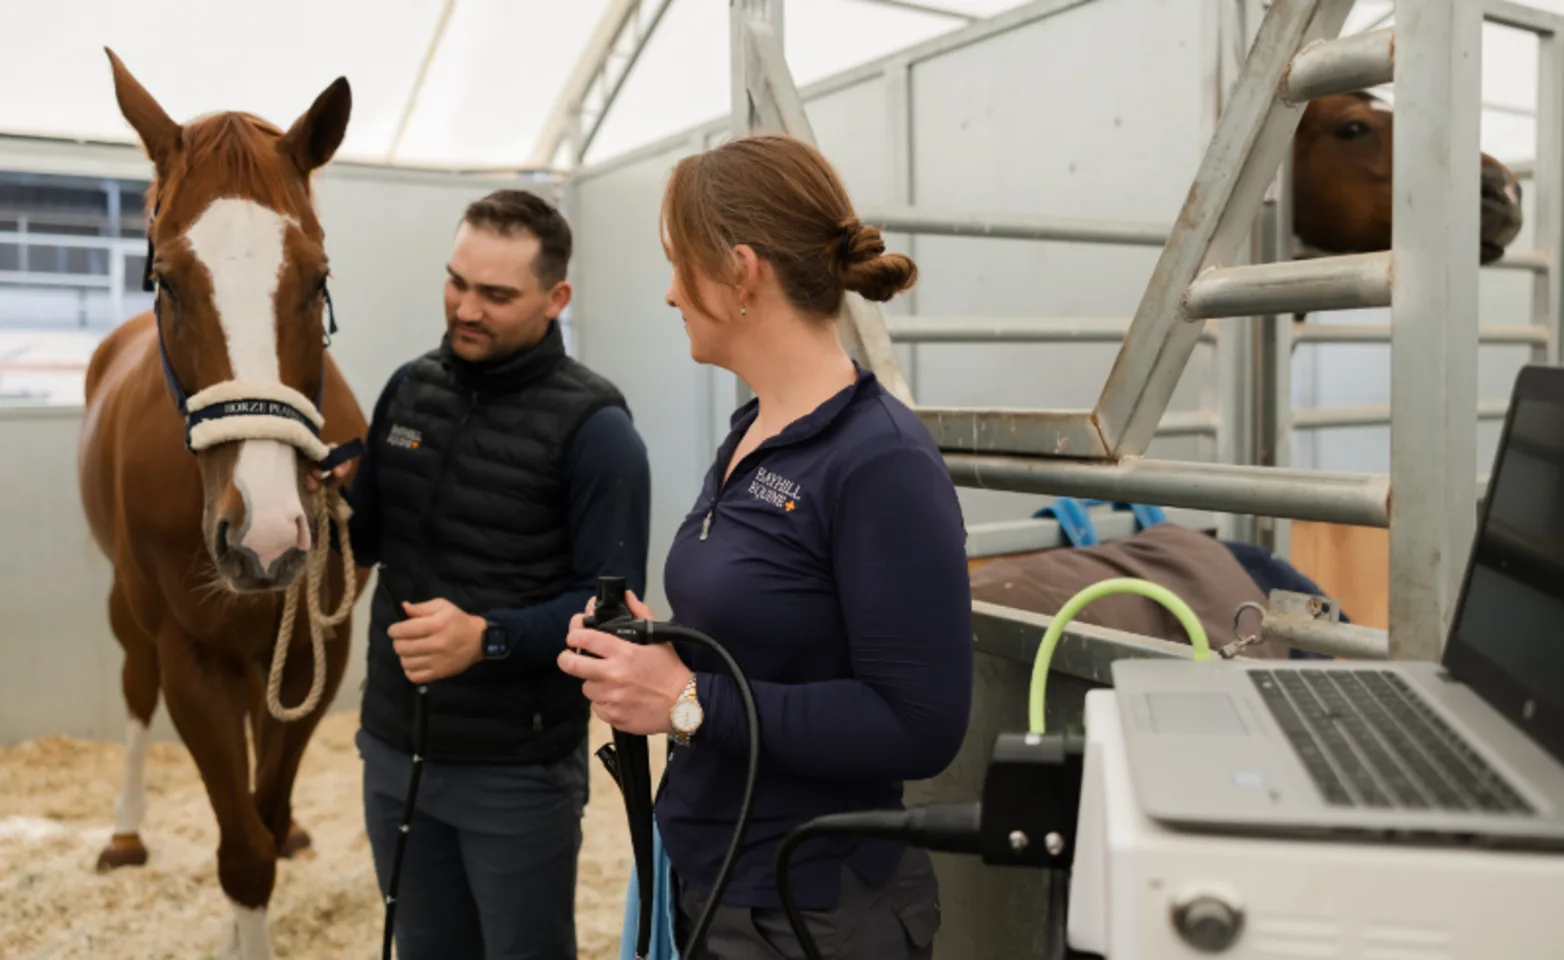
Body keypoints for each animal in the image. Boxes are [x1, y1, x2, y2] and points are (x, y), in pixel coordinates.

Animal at [77, 50, 371, 959]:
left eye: (319, 279)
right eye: (167, 281)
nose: (266, 534)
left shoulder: (315, 647)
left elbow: (263, 823)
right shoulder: (191, 658)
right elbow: (242, 850)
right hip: (127, 608)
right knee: (134, 691)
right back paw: (125, 831)